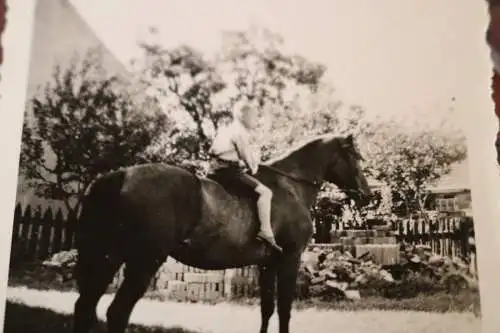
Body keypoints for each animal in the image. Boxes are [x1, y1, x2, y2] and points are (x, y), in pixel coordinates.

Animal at [72, 133, 374, 332]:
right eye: (355, 157)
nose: (367, 195)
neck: (290, 186)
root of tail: (120, 175)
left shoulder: (267, 264)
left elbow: (267, 309)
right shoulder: (289, 259)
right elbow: (285, 310)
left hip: (107, 259)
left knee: (85, 308)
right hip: (143, 262)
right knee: (117, 313)